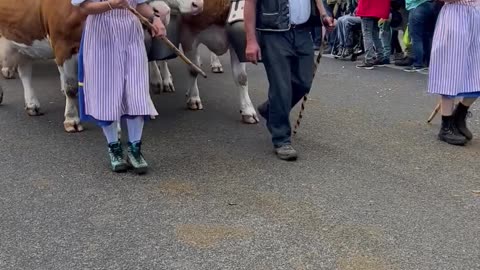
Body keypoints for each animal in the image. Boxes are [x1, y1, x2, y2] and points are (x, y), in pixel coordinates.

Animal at [0, 0, 201, 132]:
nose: (163, 12)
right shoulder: (62, 45)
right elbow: (70, 88)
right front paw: (72, 119)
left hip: (22, 38)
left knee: (25, 72)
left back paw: (32, 104)